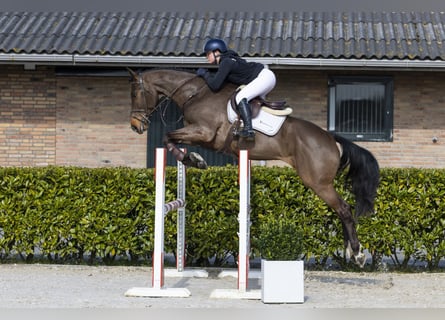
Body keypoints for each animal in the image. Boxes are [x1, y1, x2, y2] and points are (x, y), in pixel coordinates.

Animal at [127, 68, 378, 268]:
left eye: (135, 94)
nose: (135, 126)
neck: (194, 93)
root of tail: (330, 138)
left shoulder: (204, 132)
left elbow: (168, 137)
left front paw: (192, 159)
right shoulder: (202, 136)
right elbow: (173, 139)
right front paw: (193, 159)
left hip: (317, 182)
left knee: (344, 209)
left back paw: (357, 254)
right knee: (342, 210)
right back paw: (350, 250)